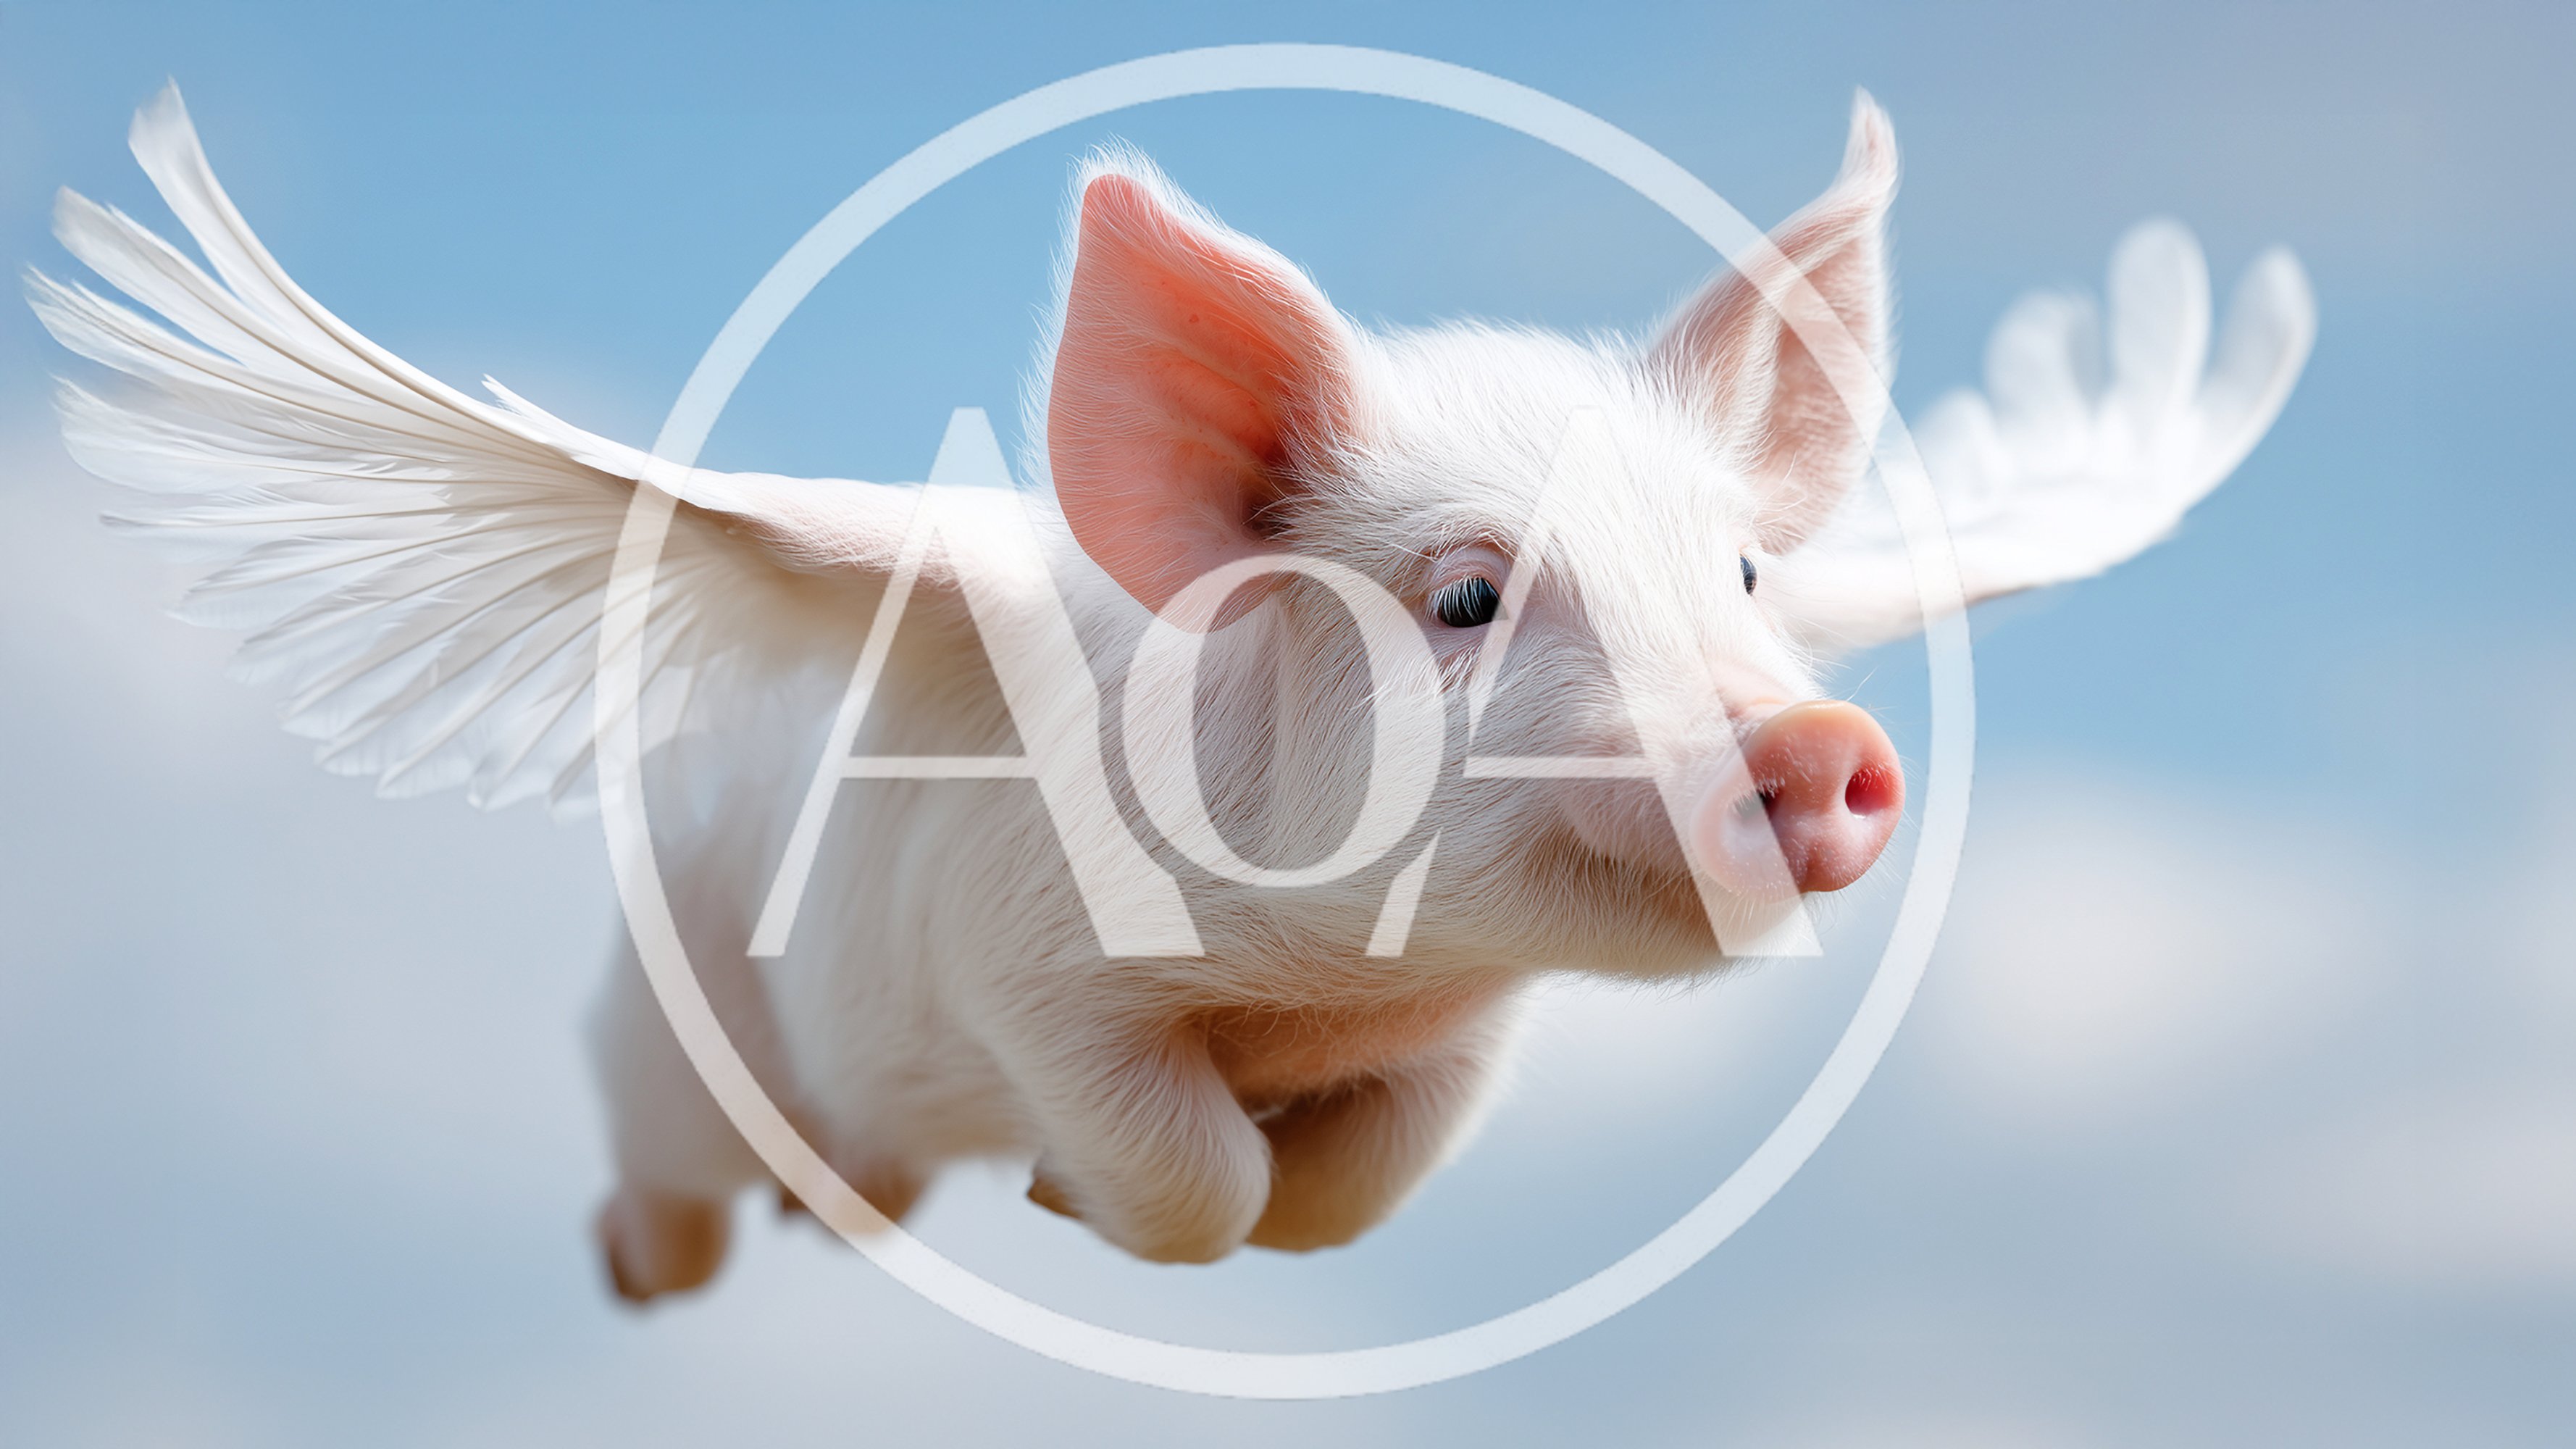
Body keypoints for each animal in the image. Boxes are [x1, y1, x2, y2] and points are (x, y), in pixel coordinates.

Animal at [32, 86, 2312, 1300]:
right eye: (1467, 593)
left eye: (1744, 575)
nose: (1821, 738)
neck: (1306, 990)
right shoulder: (1031, 972)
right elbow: (1195, 1186)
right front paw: (1072, 1197)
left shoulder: (1465, 1036)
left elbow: (1345, 1203)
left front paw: (1145, 1194)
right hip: (655, 1021)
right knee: (662, 1173)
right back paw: (669, 1259)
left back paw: (851, 1229)